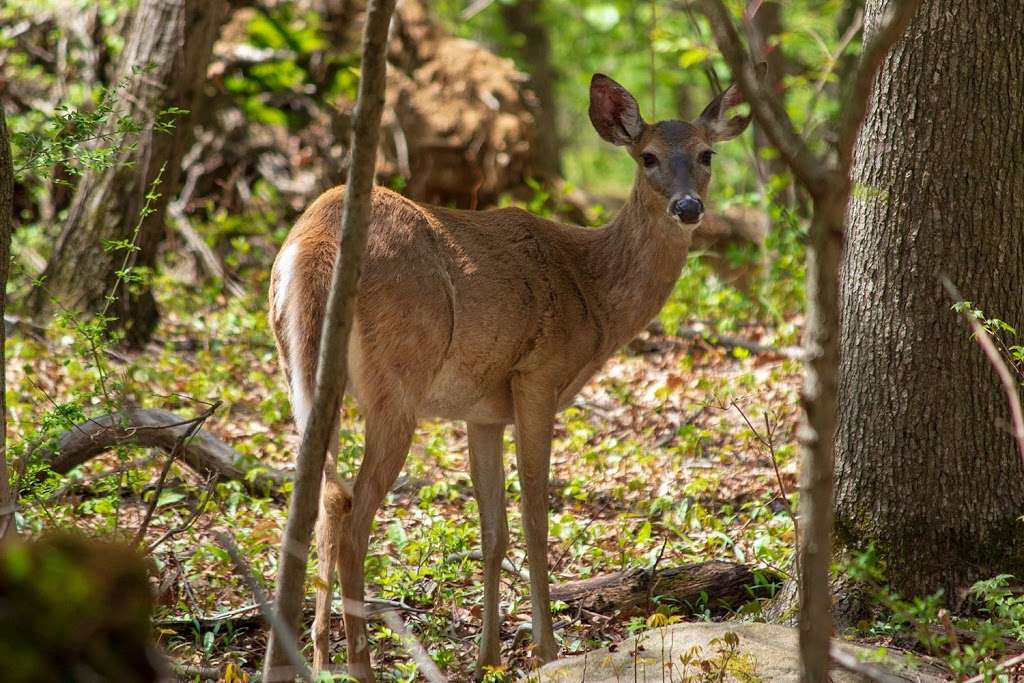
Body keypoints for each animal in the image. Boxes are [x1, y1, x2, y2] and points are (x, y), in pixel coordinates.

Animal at [270, 72, 753, 679]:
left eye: (707, 153)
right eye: (648, 157)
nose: (688, 206)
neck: (591, 290)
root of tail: (313, 244)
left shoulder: (482, 410)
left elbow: (493, 532)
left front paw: (489, 658)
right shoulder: (537, 377)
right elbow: (535, 521)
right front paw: (546, 649)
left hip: (303, 372)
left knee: (322, 499)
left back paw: (316, 654)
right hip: (397, 379)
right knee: (354, 516)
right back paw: (360, 664)